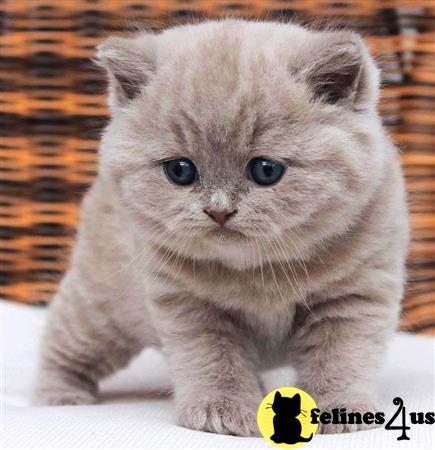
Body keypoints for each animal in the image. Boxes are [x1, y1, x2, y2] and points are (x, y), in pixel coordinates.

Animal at [33, 19, 408, 438]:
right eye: (180, 171)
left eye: (266, 170)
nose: (219, 210)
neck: (261, 272)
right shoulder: (188, 304)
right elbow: (213, 361)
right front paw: (221, 411)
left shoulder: (356, 295)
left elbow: (341, 355)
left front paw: (340, 409)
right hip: (99, 306)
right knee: (64, 341)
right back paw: (59, 396)